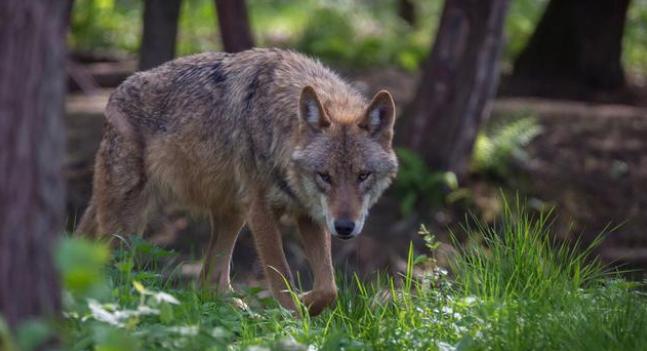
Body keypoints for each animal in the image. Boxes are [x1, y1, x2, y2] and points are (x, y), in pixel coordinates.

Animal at [78, 48, 398, 316]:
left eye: (363, 175)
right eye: (325, 176)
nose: (344, 227)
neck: (277, 127)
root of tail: (114, 95)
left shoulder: (307, 214)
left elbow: (328, 287)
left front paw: (306, 302)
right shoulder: (261, 211)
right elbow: (281, 278)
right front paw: (295, 318)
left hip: (231, 215)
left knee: (208, 282)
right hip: (128, 228)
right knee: (111, 275)